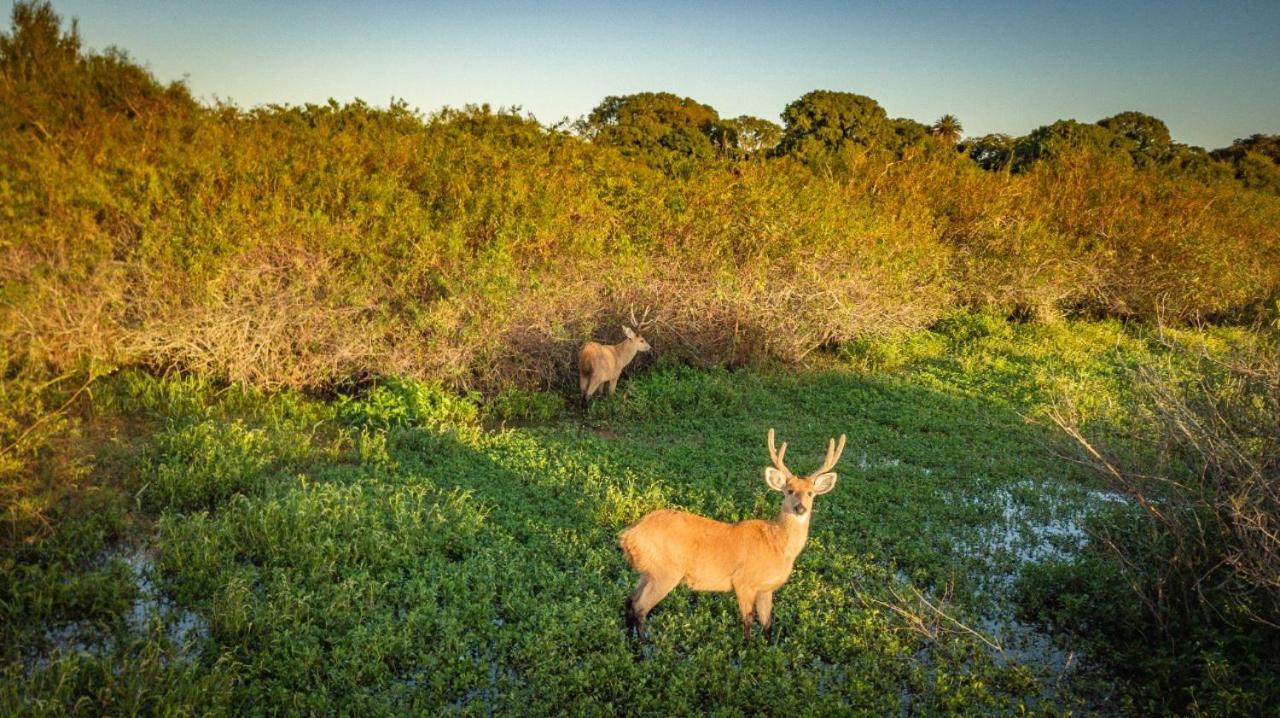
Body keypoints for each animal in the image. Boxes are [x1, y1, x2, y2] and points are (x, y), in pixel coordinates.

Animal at [616, 427, 844, 639]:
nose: (800, 508)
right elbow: (748, 623)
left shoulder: (766, 589)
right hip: (665, 571)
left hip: (648, 571)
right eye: (789, 491)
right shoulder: (743, 582)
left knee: (629, 601)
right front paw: (747, 649)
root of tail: (628, 535)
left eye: (810, 493)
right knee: (640, 608)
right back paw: (645, 646)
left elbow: (768, 625)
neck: (778, 545)